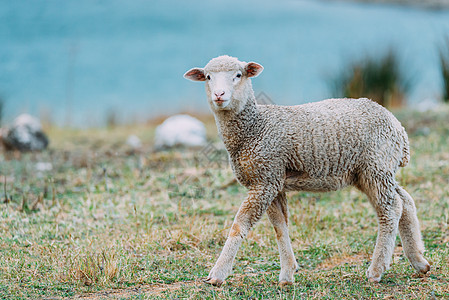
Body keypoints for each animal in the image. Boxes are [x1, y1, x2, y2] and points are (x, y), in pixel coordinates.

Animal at [183, 55, 430, 288]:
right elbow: (280, 226)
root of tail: (399, 129)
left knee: (391, 209)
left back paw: (377, 269)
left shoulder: (265, 180)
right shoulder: (273, 181)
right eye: (207, 77)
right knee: (405, 201)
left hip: (375, 167)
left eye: (238, 75)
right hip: (372, 171)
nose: (219, 94)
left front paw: (217, 274)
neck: (255, 128)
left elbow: (239, 225)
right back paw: (419, 260)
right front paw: (287, 274)